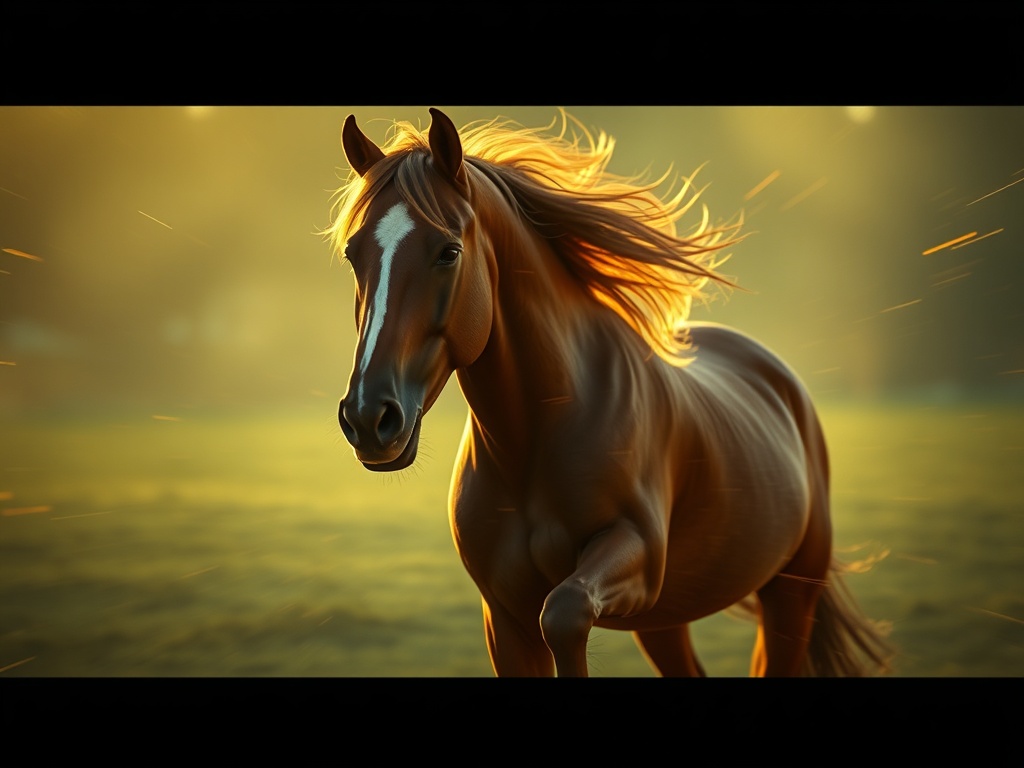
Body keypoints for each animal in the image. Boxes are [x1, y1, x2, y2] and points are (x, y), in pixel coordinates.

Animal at [327, 107, 893, 676]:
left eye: (448, 252)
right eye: (354, 254)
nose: (369, 419)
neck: (539, 436)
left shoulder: (634, 556)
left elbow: (564, 613)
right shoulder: (505, 617)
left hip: (789, 595)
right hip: (667, 618)